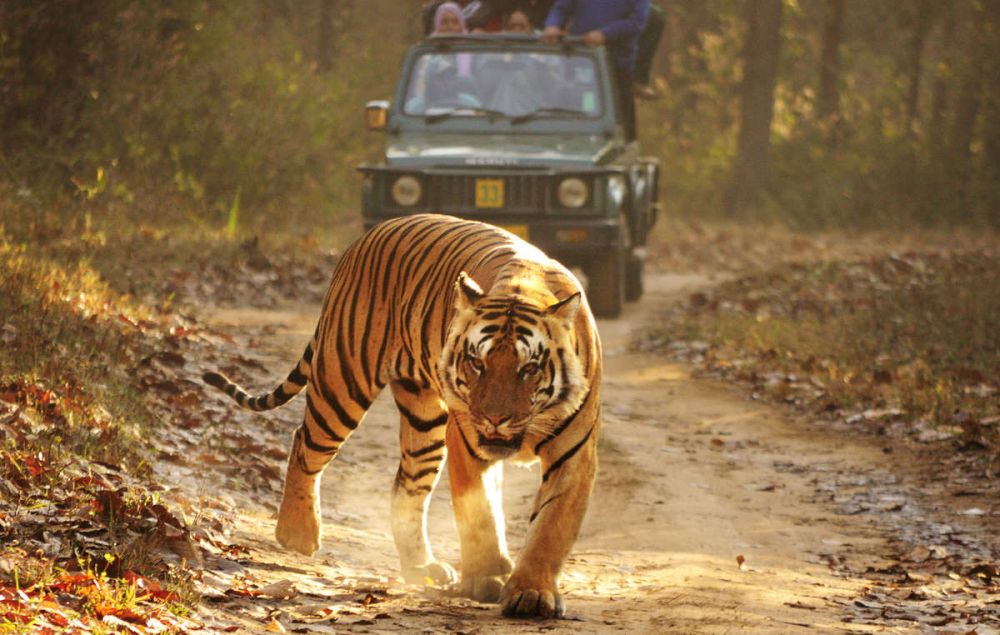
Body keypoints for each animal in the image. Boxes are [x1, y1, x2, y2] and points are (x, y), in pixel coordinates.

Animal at [203, 213, 602, 618]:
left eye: (529, 369)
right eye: (477, 363)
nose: (494, 419)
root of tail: (370, 233)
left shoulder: (574, 454)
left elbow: (551, 526)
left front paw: (531, 592)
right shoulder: (467, 442)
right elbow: (479, 514)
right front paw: (486, 578)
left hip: (424, 422)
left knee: (406, 487)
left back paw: (421, 566)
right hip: (342, 381)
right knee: (305, 443)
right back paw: (298, 533)